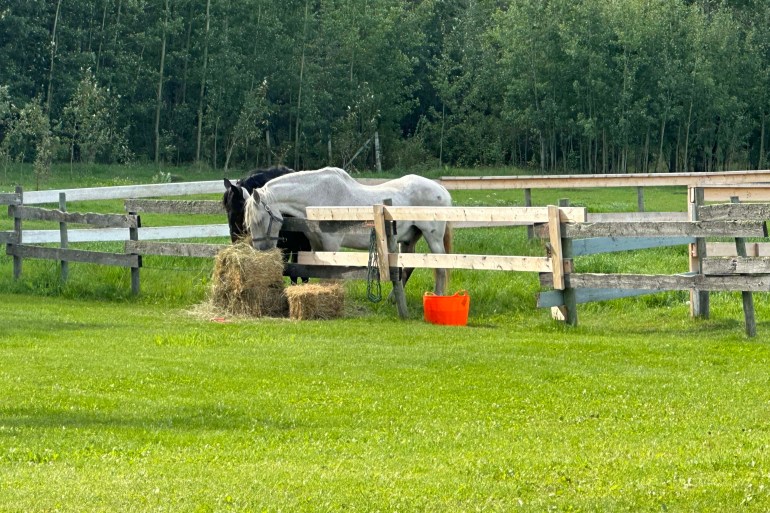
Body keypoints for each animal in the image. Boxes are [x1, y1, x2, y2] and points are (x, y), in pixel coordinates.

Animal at [243, 166, 452, 295]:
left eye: (259, 220)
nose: (261, 251)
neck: (318, 197)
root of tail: (442, 189)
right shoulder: (316, 245)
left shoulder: (331, 245)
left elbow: (331, 273)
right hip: (409, 239)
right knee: (407, 267)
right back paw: (392, 299)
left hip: (433, 237)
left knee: (440, 266)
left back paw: (438, 296)